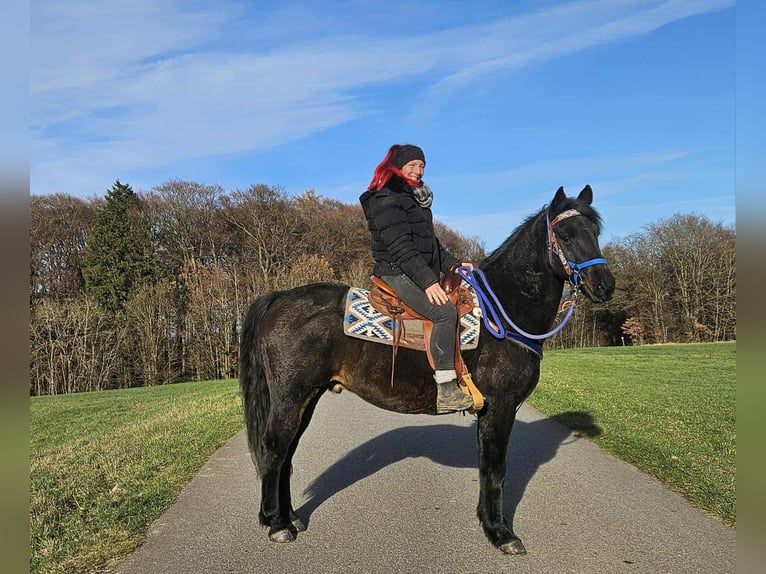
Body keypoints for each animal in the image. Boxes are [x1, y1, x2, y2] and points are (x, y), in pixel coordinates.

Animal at [239, 184, 615, 554]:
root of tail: (279, 297)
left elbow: (486, 467)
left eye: (595, 232)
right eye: (564, 235)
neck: (502, 312)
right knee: (274, 450)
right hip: (291, 398)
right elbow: (496, 470)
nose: (605, 284)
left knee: (286, 454)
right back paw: (277, 525)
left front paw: (488, 523)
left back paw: (289, 517)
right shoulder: (500, 408)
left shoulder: (490, 412)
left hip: (307, 398)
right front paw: (501, 533)